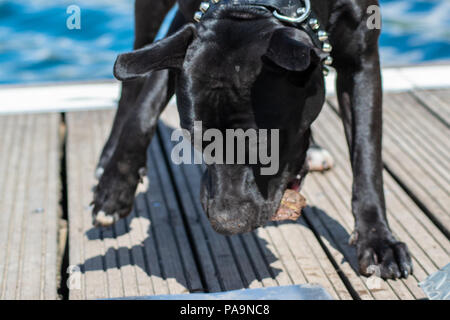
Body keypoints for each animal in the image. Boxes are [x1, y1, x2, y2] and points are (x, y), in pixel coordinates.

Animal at [91, 0, 412, 278]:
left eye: (264, 145)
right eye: (195, 140)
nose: (226, 222)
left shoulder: (361, 61)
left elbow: (366, 157)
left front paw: (377, 239)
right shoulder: (186, 28)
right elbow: (145, 107)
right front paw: (115, 190)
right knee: (134, 77)